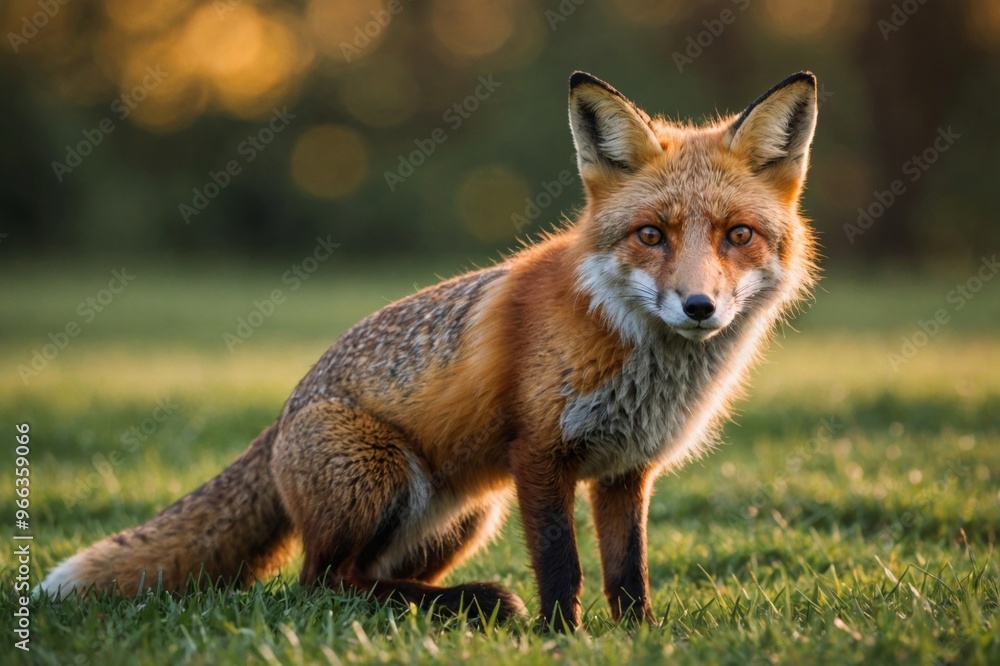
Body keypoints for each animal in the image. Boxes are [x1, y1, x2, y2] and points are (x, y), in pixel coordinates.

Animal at [41, 70, 819, 630]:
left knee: (365, 578)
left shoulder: (626, 471)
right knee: (317, 587)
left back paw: (450, 605)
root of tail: (284, 415)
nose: (699, 307)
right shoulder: (539, 454)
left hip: (468, 511)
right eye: (651, 235)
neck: (637, 355)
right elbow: (561, 565)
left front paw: (638, 638)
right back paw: (470, 608)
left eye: (738, 236)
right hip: (381, 475)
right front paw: (559, 636)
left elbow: (628, 574)